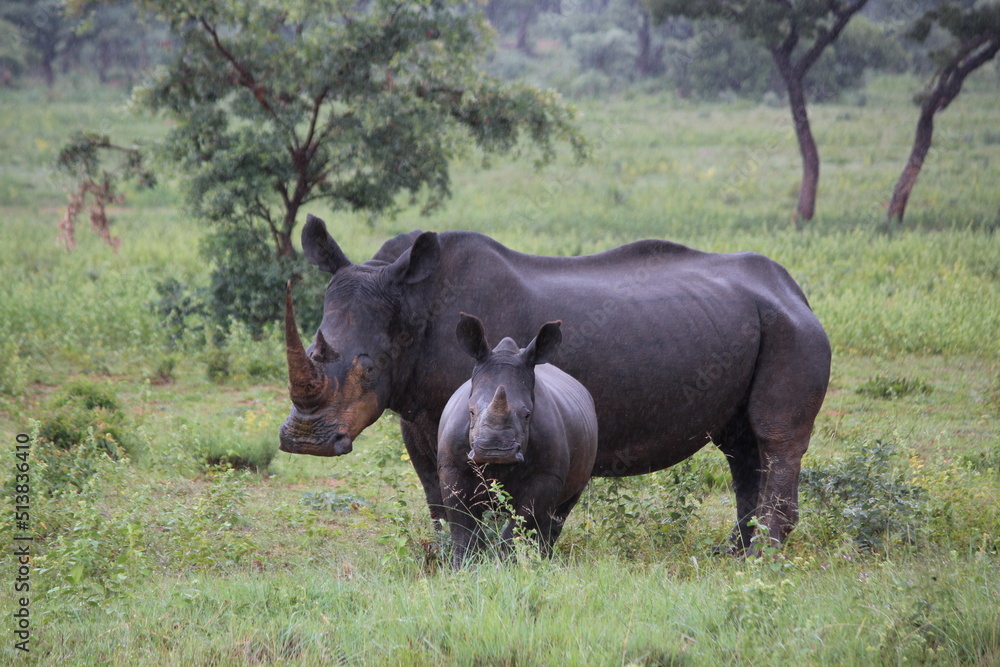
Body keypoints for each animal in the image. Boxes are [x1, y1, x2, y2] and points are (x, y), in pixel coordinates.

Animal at [437, 314, 598, 567]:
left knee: (557, 516)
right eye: (470, 411)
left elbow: (521, 524)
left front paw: (507, 566)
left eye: (527, 415)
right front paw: (464, 568)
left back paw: (543, 561)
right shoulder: (451, 468)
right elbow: (463, 526)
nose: (494, 451)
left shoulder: (545, 475)